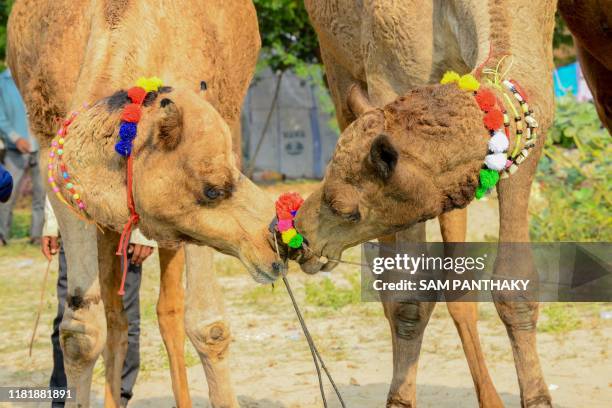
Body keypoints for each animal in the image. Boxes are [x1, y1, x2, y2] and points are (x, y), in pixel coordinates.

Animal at [7, 1, 270, 406]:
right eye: (211, 190)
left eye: (225, 179)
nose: (273, 237)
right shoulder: (59, 162)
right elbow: (81, 332)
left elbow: (207, 324)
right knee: (118, 316)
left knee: (168, 310)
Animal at [296, 0, 560, 408]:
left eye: (345, 209)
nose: (297, 234)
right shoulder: (389, 72)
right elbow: (408, 295)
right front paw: (399, 398)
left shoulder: (532, 111)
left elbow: (516, 282)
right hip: (337, 69)